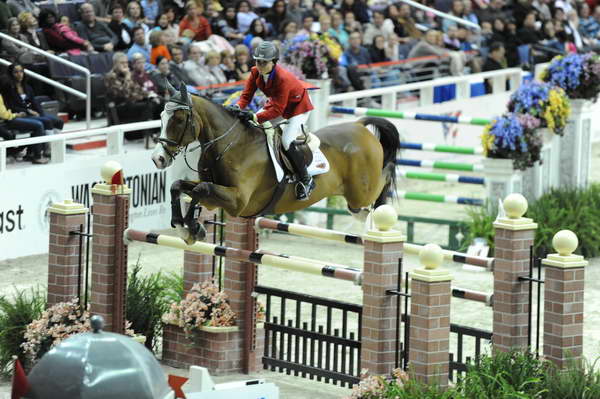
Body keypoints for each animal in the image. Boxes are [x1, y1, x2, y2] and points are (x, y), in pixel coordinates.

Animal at [152, 83, 400, 244]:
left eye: (179, 120)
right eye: (162, 118)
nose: (158, 158)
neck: (228, 145)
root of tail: (359, 126)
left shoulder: (237, 202)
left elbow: (201, 189)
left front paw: (191, 228)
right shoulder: (217, 198)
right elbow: (178, 186)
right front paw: (184, 227)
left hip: (361, 192)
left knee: (384, 177)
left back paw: (379, 210)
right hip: (356, 196)